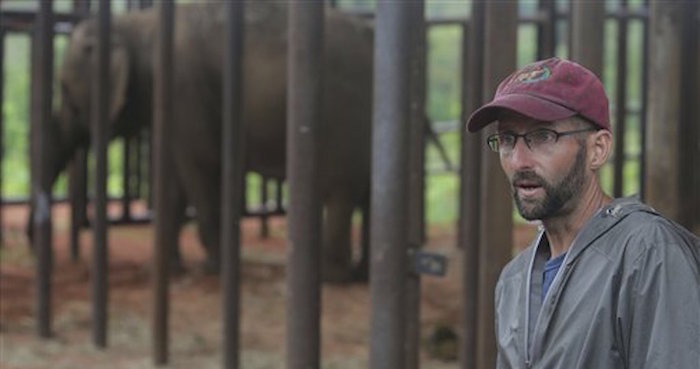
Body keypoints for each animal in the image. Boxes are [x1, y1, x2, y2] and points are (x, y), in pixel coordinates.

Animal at [37, 1, 378, 280]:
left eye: (64, 88)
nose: (37, 245)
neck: (136, 25)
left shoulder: (184, 89)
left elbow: (203, 165)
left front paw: (210, 269)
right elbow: (173, 184)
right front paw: (164, 271)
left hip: (344, 116)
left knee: (340, 191)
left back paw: (333, 277)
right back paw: (362, 275)